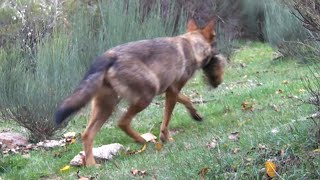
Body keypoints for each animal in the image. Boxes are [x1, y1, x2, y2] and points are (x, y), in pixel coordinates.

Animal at [54, 19, 225, 166]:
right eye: (215, 43)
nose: (218, 55)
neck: (191, 45)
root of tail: (109, 55)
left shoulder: (170, 90)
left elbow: (187, 100)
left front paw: (196, 115)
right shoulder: (172, 91)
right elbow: (166, 121)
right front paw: (167, 139)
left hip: (106, 107)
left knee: (87, 134)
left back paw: (92, 166)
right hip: (145, 97)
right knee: (122, 122)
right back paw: (141, 140)